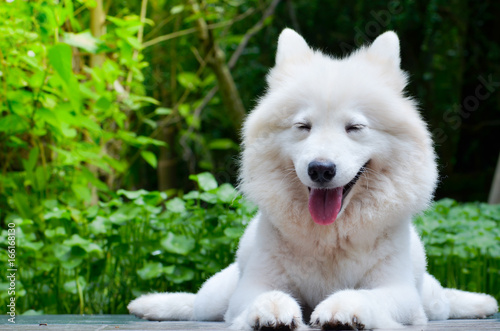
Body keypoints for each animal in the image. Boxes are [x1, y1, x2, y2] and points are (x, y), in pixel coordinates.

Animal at [128, 29, 496, 330]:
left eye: (354, 127)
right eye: (303, 126)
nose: (321, 169)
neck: (329, 237)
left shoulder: (398, 291)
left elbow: (365, 296)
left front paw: (341, 309)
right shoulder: (251, 287)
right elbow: (265, 296)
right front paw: (273, 310)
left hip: (430, 299)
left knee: (444, 301)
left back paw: (481, 303)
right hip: (214, 298)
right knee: (194, 305)